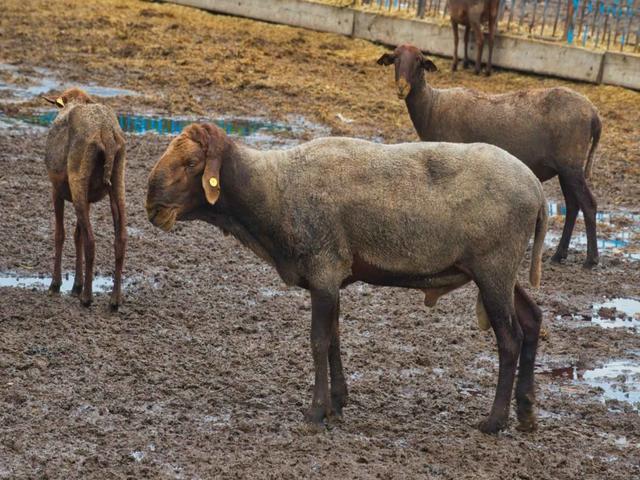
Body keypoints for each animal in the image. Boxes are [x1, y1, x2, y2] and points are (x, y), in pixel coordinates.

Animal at [42, 88, 127, 309]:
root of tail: (106, 133)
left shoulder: (56, 189)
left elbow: (61, 234)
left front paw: (56, 284)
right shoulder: (87, 198)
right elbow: (76, 235)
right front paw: (76, 285)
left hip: (77, 178)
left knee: (91, 241)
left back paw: (87, 297)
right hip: (118, 179)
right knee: (120, 238)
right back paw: (114, 300)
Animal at [145, 123, 548, 434]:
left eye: (191, 163)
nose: (152, 206)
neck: (273, 191)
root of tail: (538, 190)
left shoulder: (323, 269)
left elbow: (318, 341)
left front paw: (314, 412)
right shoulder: (332, 276)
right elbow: (335, 337)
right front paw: (337, 403)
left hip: (494, 267)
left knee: (510, 339)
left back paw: (495, 421)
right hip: (500, 271)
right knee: (533, 320)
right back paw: (526, 412)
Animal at [377, 44, 602, 267]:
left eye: (418, 60)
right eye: (395, 58)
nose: (401, 88)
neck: (432, 106)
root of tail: (594, 113)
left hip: (571, 164)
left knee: (588, 204)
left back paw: (591, 259)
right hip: (565, 168)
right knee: (573, 206)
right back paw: (559, 255)